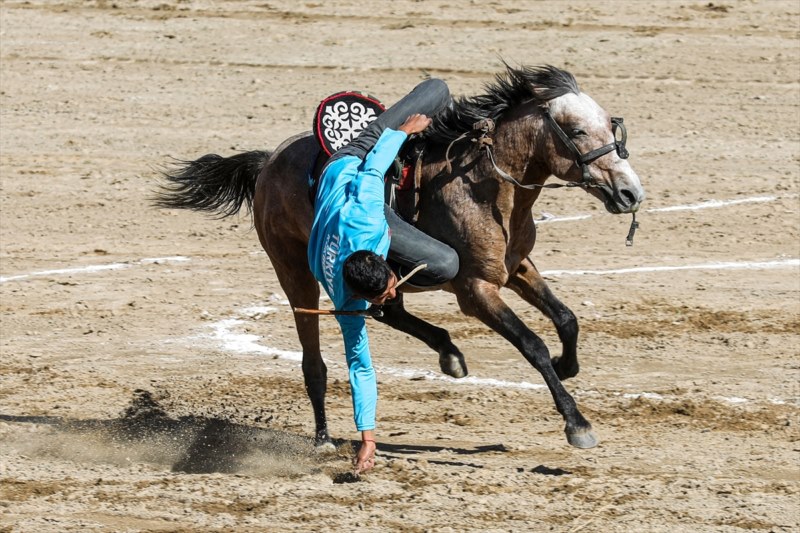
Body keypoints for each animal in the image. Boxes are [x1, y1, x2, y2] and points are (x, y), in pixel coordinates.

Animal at [155, 65, 644, 448]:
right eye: (577, 131)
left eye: (610, 125)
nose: (630, 193)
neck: (480, 187)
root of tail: (269, 161)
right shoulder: (476, 290)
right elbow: (532, 344)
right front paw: (576, 423)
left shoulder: (516, 267)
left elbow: (566, 318)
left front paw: (568, 364)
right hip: (293, 272)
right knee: (315, 360)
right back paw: (323, 438)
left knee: (389, 310)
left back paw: (449, 354)